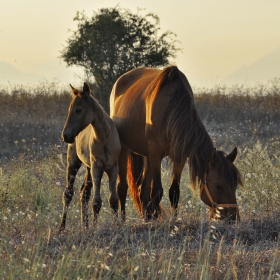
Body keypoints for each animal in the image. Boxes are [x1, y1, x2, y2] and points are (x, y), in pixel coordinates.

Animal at [59, 82, 121, 231]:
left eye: (78, 110)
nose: (65, 135)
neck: (104, 138)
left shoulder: (113, 168)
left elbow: (113, 200)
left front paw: (117, 225)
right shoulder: (97, 167)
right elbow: (97, 202)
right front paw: (94, 227)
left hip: (88, 168)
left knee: (84, 194)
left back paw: (85, 226)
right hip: (74, 163)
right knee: (68, 193)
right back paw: (62, 228)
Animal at [109, 65, 243, 221]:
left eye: (235, 184)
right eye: (218, 186)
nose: (233, 217)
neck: (170, 110)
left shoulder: (180, 156)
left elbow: (174, 191)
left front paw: (173, 218)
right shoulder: (156, 154)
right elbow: (157, 191)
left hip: (146, 155)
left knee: (143, 189)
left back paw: (147, 217)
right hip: (125, 149)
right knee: (122, 188)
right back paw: (122, 219)